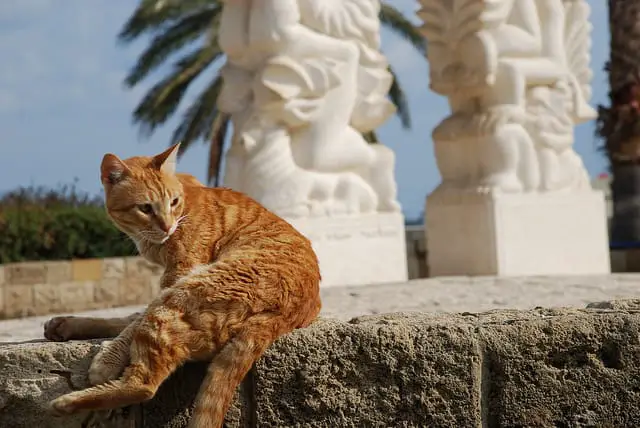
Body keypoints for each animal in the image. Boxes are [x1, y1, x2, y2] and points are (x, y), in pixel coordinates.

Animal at [45, 145, 322, 428]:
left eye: (174, 202)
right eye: (145, 208)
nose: (167, 226)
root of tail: (287, 316)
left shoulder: (179, 273)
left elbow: (132, 326)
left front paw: (107, 362)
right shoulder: (169, 279)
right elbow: (132, 317)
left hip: (184, 292)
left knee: (144, 383)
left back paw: (66, 403)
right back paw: (65, 326)